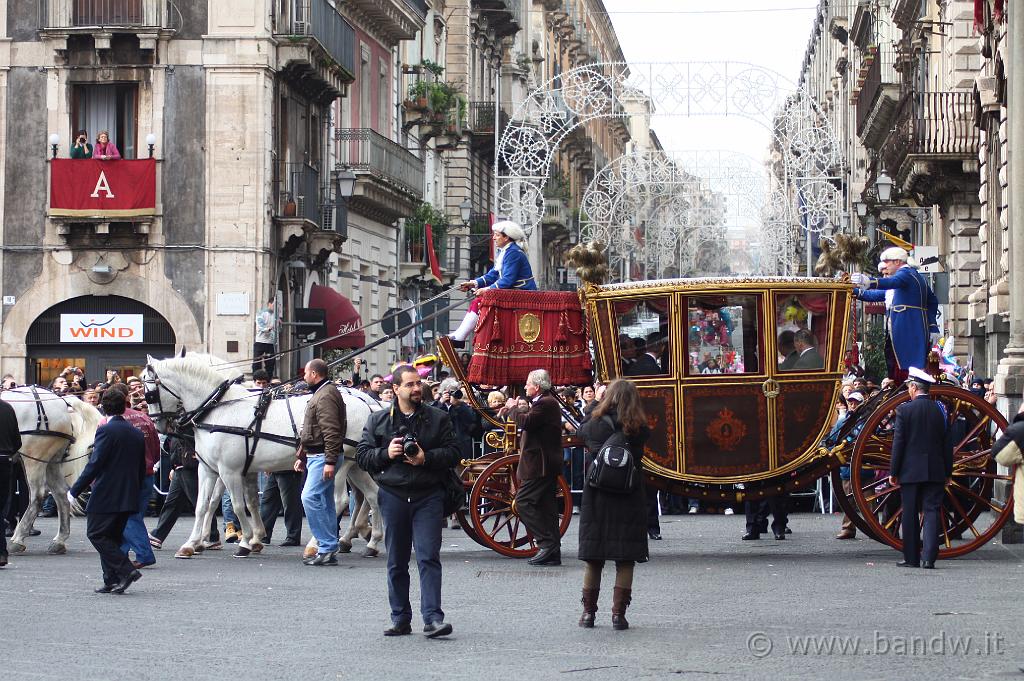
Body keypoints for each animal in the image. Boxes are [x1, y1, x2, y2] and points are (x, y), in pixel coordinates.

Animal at [2, 387, 100, 552]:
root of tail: (60, 401)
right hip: (51, 461)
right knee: (61, 493)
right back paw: (59, 540)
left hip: (34, 459)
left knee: (38, 495)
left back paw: (18, 539)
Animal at [142, 356, 385, 557]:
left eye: (149, 393)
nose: (158, 425)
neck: (218, 409)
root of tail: (367, 405)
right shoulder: (212, 469)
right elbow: (207, 505)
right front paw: (193, 543)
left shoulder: (229, 471)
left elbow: (238, 505)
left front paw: (245, 541)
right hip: (356, 466)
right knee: (372, 494)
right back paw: (370, 541)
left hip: (338, 465)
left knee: (339, 500)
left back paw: (319, 544)